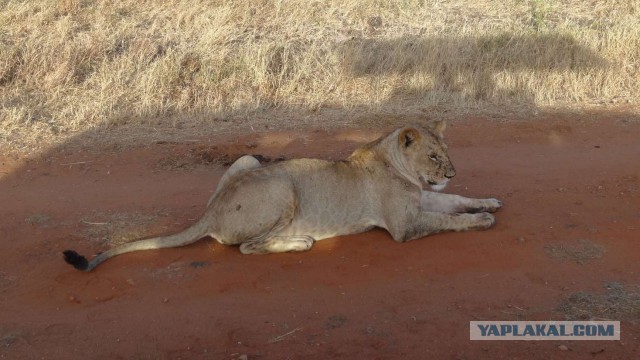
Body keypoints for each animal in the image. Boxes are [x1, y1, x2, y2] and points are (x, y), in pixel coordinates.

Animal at [65, 119, 502, 272]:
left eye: (447, 152)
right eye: (434, 156)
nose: (451, 172)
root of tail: (211, 211)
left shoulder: (419, 201)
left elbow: (454, 201)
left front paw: (490, 202)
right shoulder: (404, 226)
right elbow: (448, 219)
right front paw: (483, 220)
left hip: (247, 160)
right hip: (281, 189)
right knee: (247, 247)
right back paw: (300, 241)